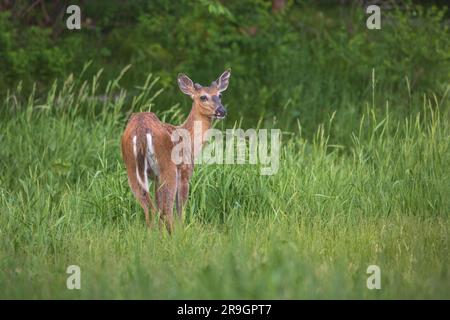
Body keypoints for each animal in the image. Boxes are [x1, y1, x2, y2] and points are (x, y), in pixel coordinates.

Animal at [120, 69, 230, 232]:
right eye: (203, 97)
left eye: (220, 95)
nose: (222, 111)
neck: (190, 139)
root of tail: (141, 129)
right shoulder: (185, 170)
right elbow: (180, 207)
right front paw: (182, 228)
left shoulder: (156, 177)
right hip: (168, 167)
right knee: (167, 209)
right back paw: (173, 234)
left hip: (132, 167)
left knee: (149, 207)